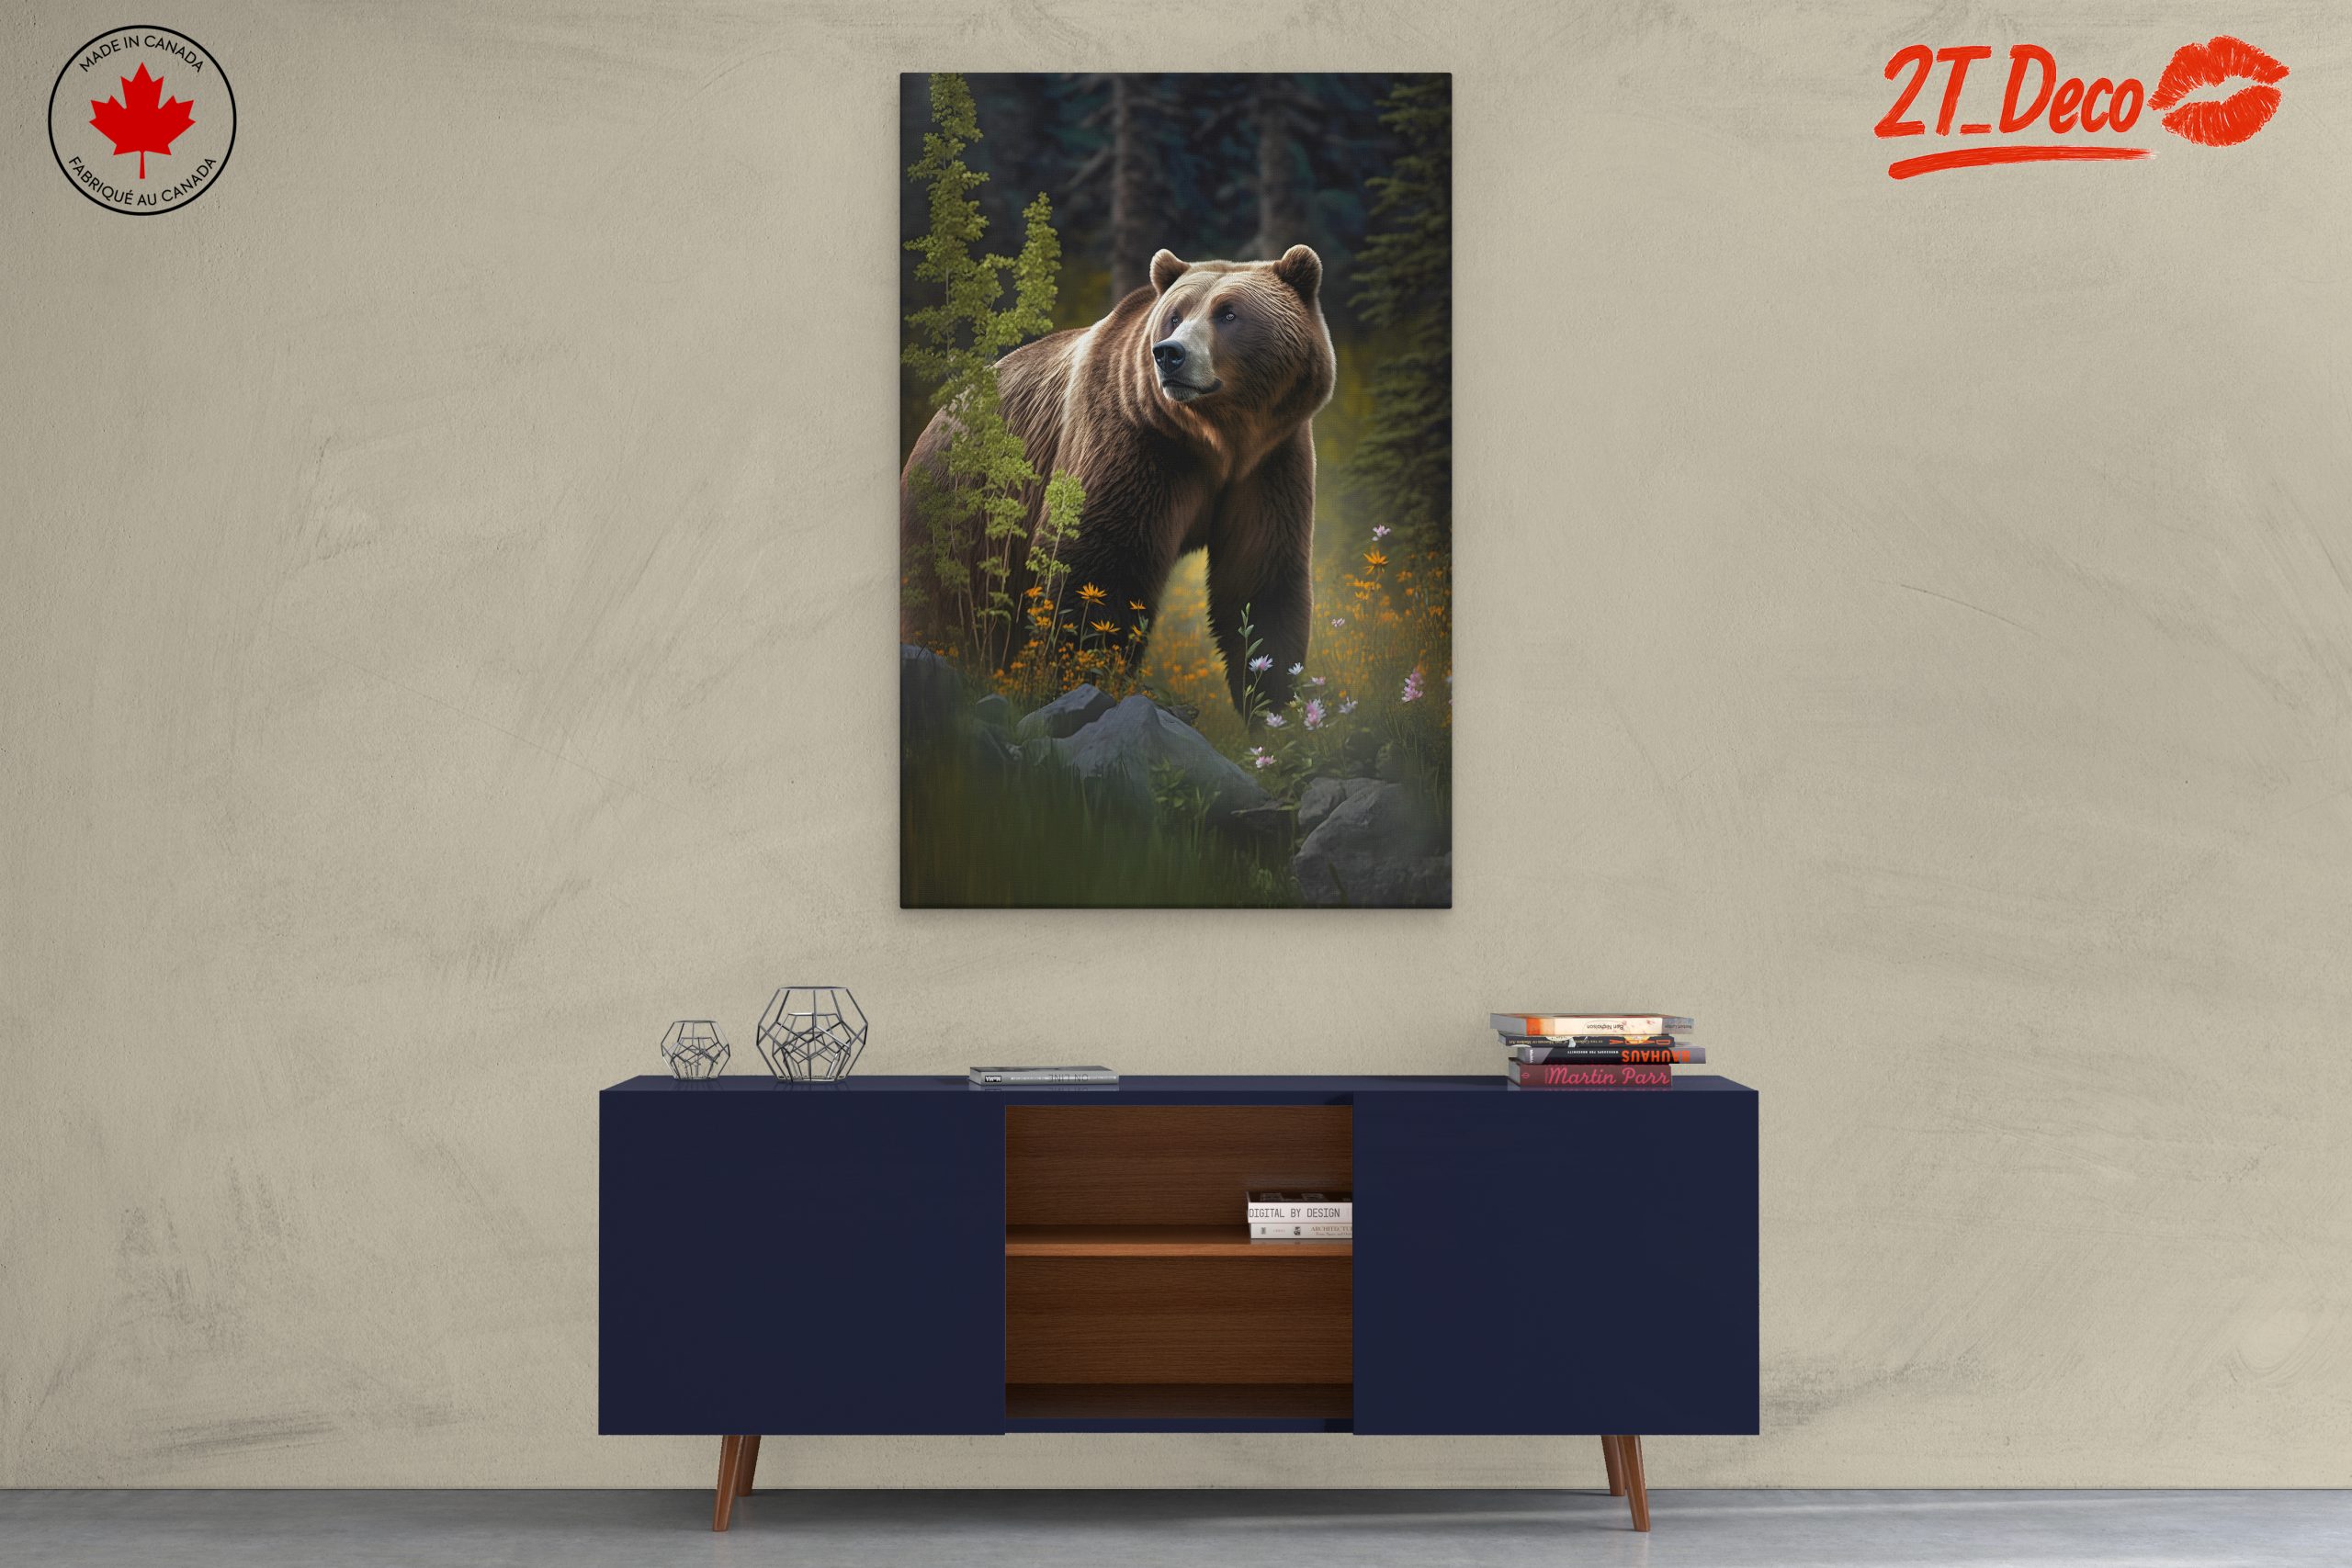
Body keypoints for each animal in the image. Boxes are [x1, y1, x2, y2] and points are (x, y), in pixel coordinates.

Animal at [901, 244, 1335, 716]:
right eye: (1175, 316)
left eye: (1228, 313)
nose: (1170, 354)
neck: (1217, 439)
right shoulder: (1134, 445)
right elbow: (1099, 565)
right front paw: (1085, 677)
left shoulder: (1270, 463)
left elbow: (1260, 579)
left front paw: (1273, 703)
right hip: (962, 517)